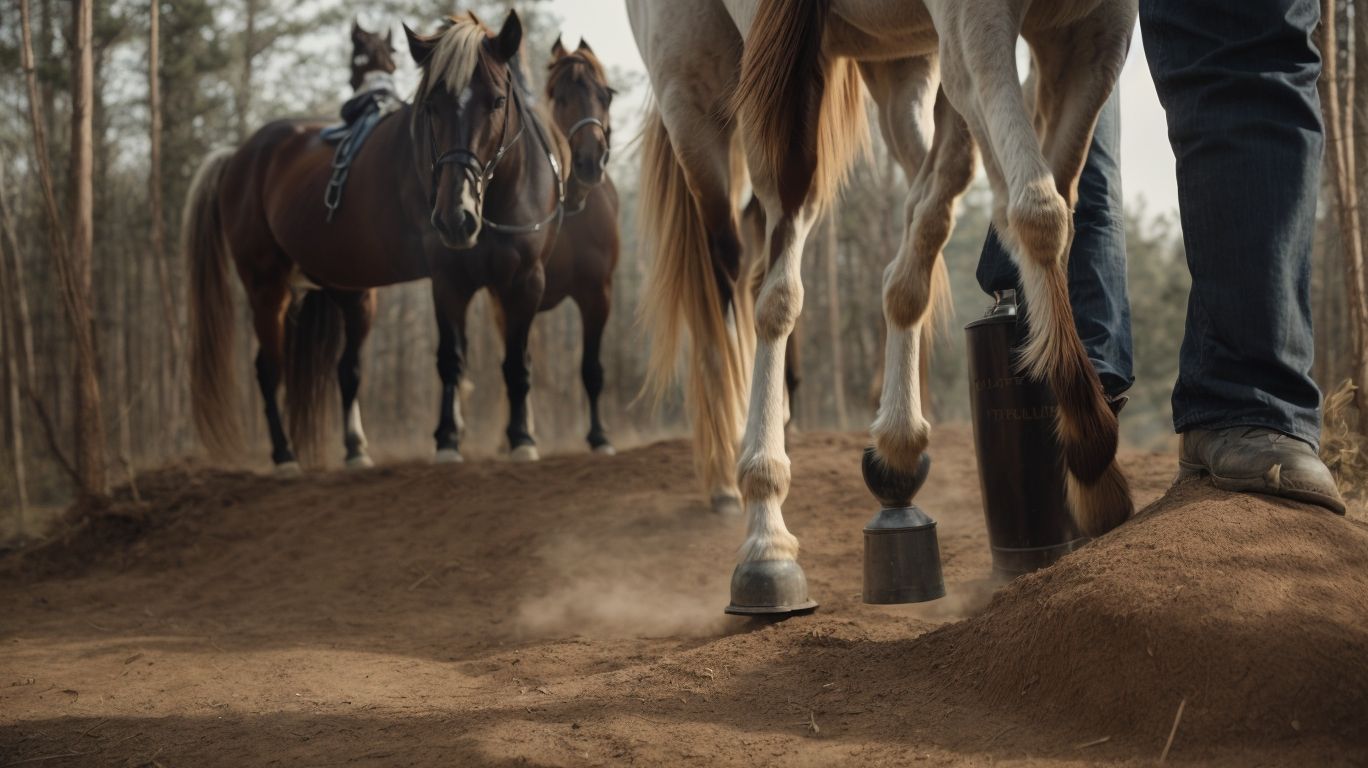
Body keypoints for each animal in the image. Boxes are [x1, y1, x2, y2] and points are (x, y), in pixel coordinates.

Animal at [186, 10, 565, 472]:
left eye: (496, 101)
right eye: (430, 106)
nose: (454, 218)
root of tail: (239, 156)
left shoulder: (524, 281)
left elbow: (516, 362)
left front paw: (522, 439)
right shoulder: (449, 279)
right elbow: (451, 360)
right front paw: (447, 440)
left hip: (351, 293)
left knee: (346, 369)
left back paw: (355, 449)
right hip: (266, 286)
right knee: (268, 369)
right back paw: (284, 455)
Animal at [628, 0, 1137, 612]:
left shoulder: (1092, 35)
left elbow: (1023, 203)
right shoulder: (975, 24)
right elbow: (1036, 210)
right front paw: (1091, 455)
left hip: (894, 66)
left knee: (917, 197)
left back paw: (887, 438)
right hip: (707, 85)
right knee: (747, 276)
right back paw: (756, 513)